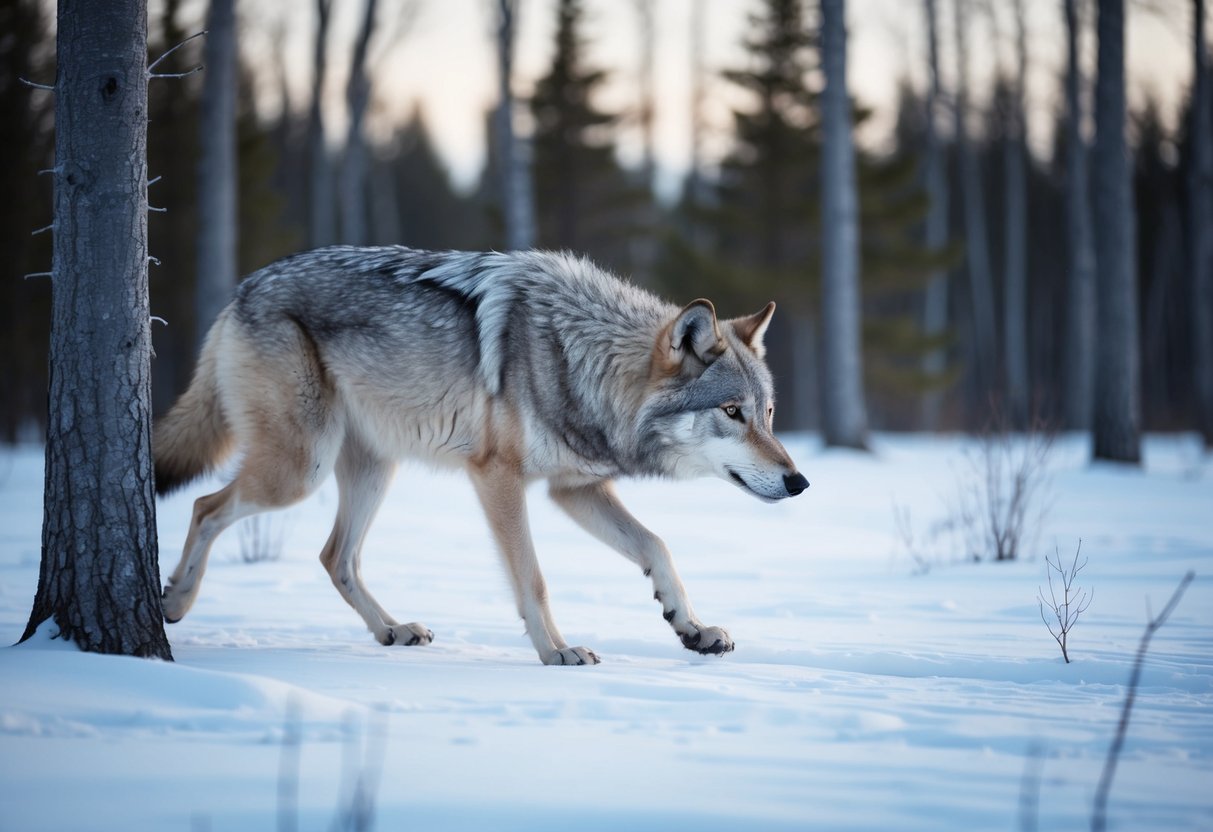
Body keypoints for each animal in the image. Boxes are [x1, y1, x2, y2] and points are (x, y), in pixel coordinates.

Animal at [155, 246, 808, 665]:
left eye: (770, 413)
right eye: (732, 412)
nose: (799, 482)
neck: (578, 360)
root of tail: (243, 289)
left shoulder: (573, 490)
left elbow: (658, 547)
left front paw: (691, 627)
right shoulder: (499, 478)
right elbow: (534, 578)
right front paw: (556, 651)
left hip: (373, 470)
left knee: (334, 555)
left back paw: (393, 631)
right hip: (300, 471)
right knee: (207, 506)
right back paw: (175, 601)